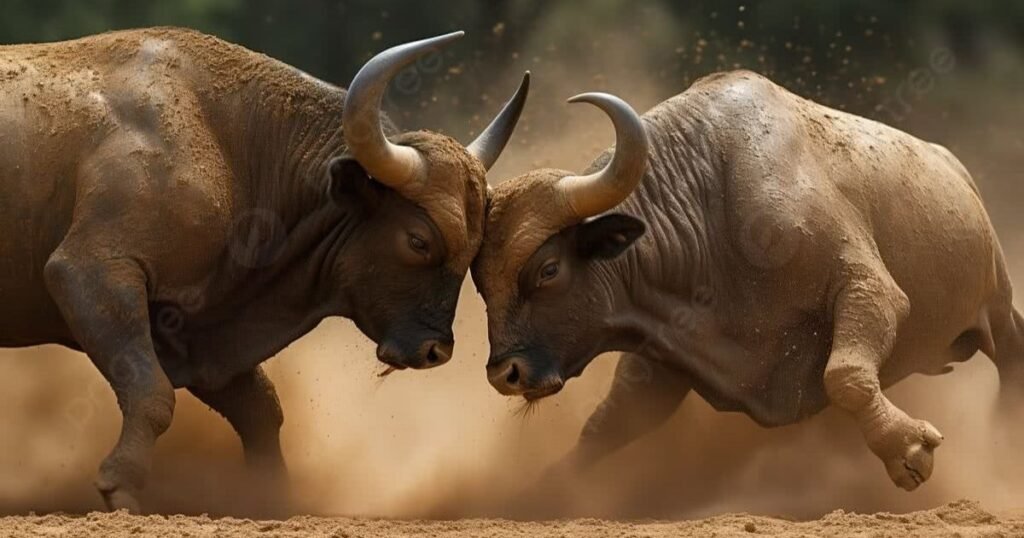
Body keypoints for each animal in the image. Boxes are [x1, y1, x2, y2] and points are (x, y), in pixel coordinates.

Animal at [0, 27, 529, 512]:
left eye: (475, 249)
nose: (434, 349)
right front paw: (121, 483)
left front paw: (271, 497)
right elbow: (151, 393)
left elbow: (260, 410)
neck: (230, 139)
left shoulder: (196, 333)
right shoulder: (91, 272)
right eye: (418, 240)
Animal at [472, 70, 1023, 494]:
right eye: (478, 282)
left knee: (1011, 356)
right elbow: (607, 427)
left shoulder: (869, 291)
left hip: (998, 303)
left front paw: (907, 449)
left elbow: (845, 375)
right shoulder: (661, 361)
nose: (506, 373)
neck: (706, 208)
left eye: (548, 269)